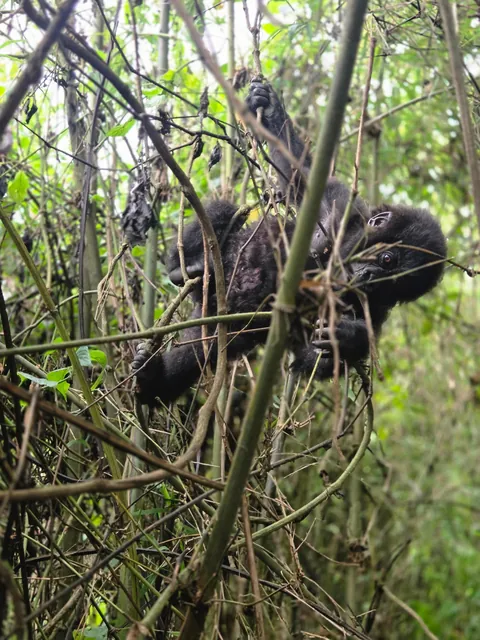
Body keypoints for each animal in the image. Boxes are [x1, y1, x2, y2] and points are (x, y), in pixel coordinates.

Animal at [132, 79, 446, 407]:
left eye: (395, 284)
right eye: (388, 260)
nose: (371, 277)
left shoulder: (375, 308)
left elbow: (318, 358)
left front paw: (346, 336)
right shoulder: (338, 205)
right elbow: (301, 175)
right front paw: (269, 107)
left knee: (205, 347)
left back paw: (155, 382)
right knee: (225, 213)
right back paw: (189, 266)